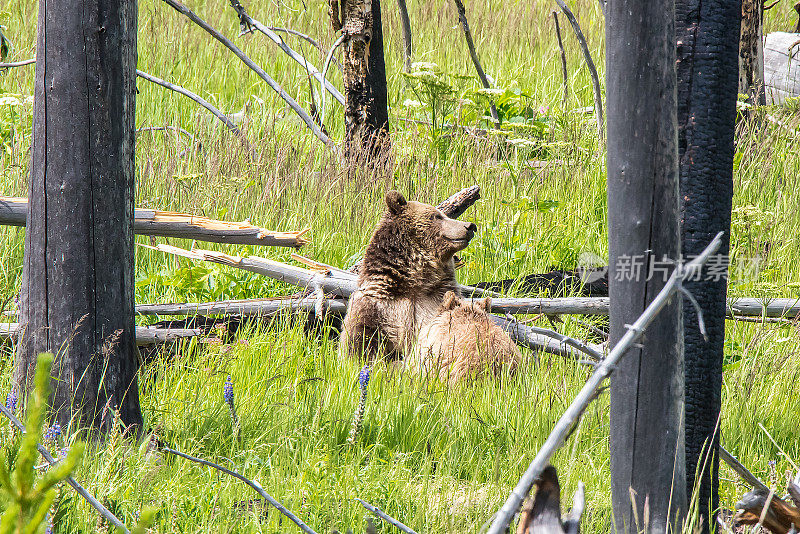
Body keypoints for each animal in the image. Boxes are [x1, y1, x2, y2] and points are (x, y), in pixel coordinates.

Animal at [338, 191, 476, 362]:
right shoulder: (374, 306)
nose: (470, 226)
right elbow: (361, 341)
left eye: (443, 214)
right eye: (437, 216)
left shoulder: (438, 300)